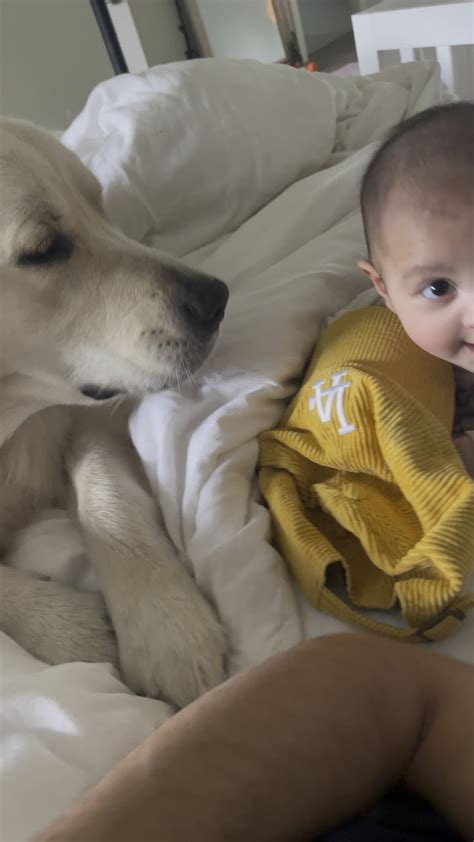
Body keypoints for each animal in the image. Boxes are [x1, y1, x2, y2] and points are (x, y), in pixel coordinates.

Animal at [0, 118, 230, 704]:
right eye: (43, 249)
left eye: (99, 205)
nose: (216, 298)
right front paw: (73, 630)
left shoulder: (91, 414)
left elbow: (104, 492)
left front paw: (166, 626)